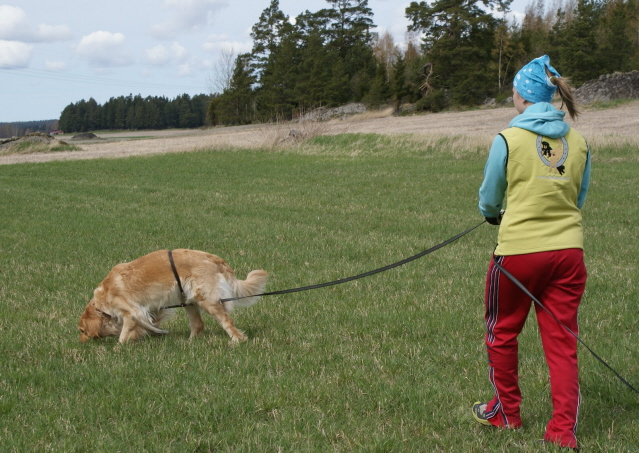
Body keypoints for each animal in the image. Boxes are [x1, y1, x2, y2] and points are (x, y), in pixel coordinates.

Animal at [78, 247, 268, 342]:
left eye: (82, 330)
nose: (81, 341)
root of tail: (214, 258)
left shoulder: (131, 312)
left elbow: (125, 334)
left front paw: (119, 348)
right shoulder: (150, 310)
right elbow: (149, 323)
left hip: (206, 300)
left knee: (227, 322)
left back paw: (237, 340)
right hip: (188, 299)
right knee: (198, 324)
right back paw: (190, 343)